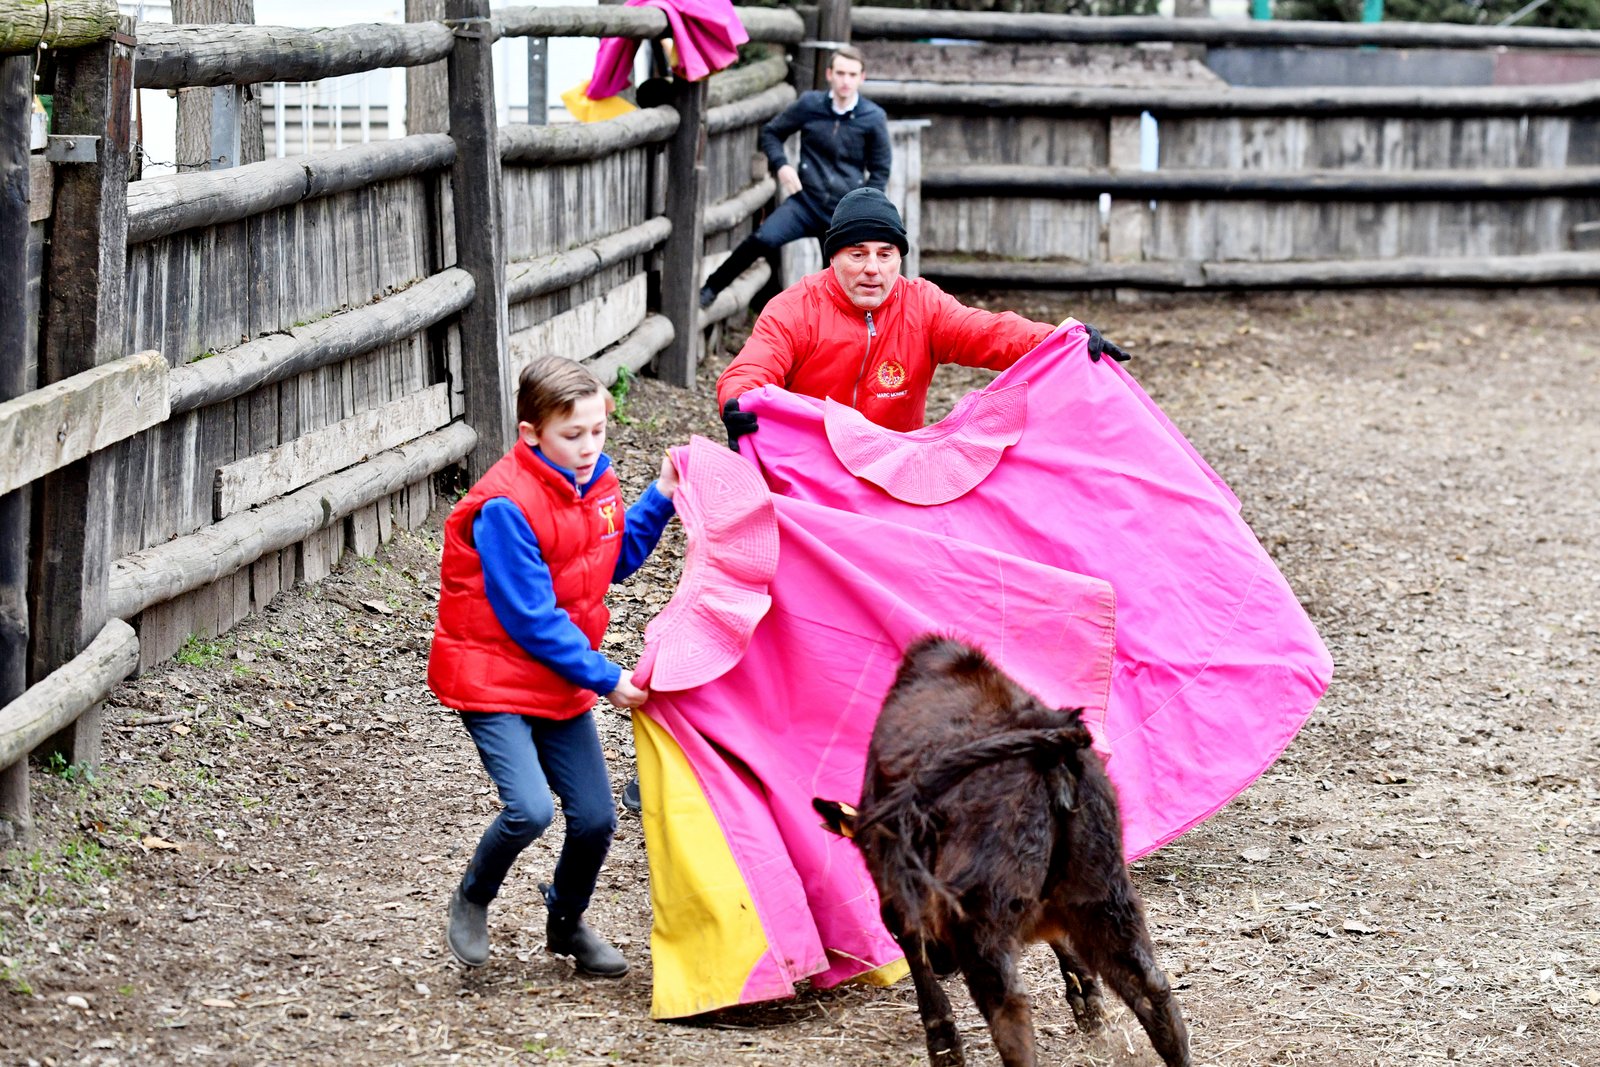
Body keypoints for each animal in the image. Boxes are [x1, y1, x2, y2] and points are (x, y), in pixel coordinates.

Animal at [825, 639, 1190, 1067]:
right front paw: (1087, 1004)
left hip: (980, 918)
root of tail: (1049, 752)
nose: (943, 959)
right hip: (1105, 896)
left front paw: (944, 1047)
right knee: (1152, 986)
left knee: (1010, 1009)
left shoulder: (898, 886)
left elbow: (913, 949)